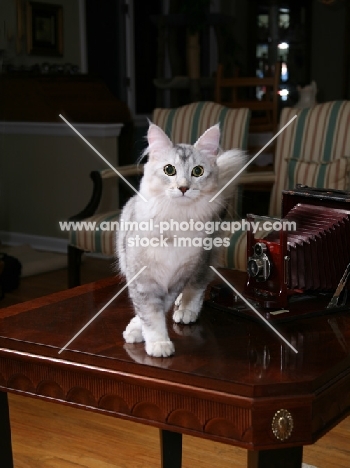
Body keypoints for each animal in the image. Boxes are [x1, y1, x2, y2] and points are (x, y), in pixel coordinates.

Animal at [116, 122, 245, 356]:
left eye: (197, 171)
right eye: (169, 170)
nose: (184, 187)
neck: (177, 220)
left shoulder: (177, 276)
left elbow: (156, 312)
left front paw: (151, 339)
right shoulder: (142, 278)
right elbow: (150, 314)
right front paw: (156, 342)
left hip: (203, 260)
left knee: (197, 286)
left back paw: (186, 310)